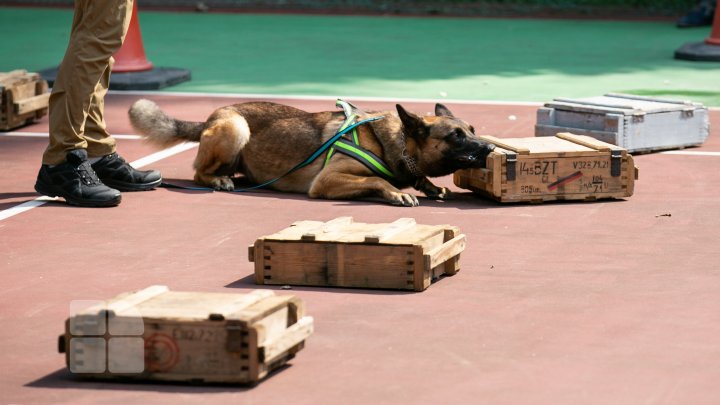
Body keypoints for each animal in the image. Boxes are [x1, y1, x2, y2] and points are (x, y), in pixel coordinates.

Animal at [128, 98, 496, 205]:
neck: (398, 142)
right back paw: (218, 180)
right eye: (456, 136)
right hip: (236, 129)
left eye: (472, 130)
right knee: (198, 173)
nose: (491, 147)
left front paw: (429, 186)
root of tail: (211, 116)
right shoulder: (327, 181)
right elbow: (379, 181)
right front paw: (396, 192)